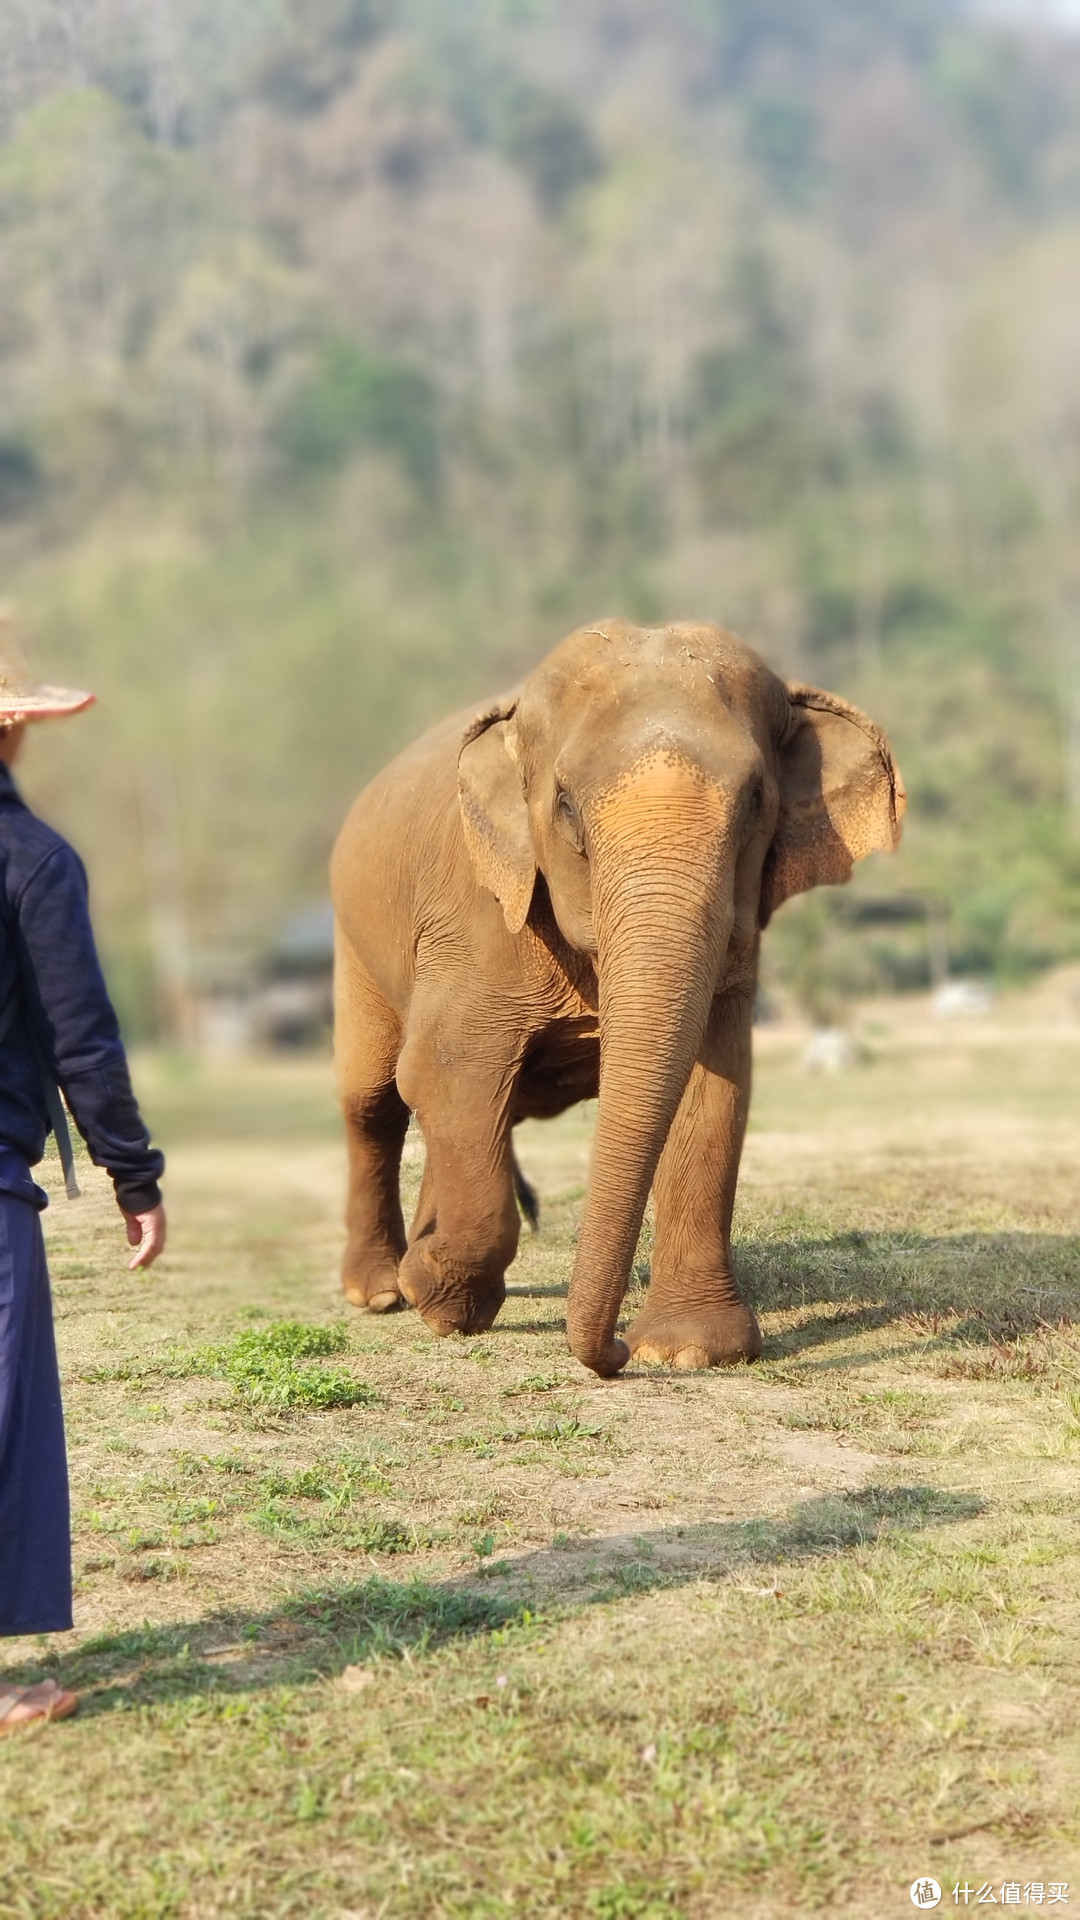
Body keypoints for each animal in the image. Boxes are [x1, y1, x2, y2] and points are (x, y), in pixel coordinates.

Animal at [330, 622, 899, 1374]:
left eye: (756, 800)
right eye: (566, 804)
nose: (615, 1351)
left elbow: (712, 1092)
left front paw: (688, 1352)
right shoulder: (474, 917)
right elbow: (447, 1070)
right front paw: (439, 1300)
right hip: (354, 946)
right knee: (373, 1099)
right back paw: (381, 1292)